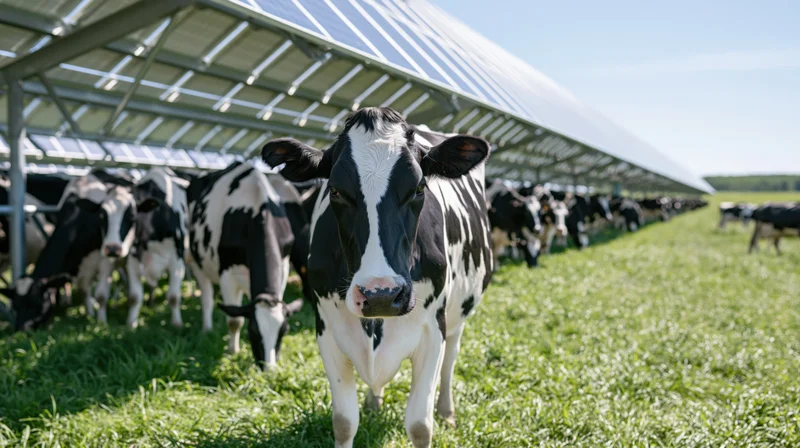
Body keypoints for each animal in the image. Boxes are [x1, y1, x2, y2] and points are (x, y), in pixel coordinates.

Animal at [125, 167, 190, 328]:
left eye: (131, 216)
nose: (111, 248)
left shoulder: (177, 262)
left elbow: (173, 296)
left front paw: (177, 323)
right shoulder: (132, 261)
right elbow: (134, 297)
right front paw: (131, 324)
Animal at [186, 162, 302, 370]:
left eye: (283, 331)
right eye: (253, 332)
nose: (269, 369)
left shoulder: (284, 266)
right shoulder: (227, 274)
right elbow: (234, 320)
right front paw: (233, 351)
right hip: (197, 260)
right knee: (206, 297)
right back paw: (206, 328)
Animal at [261, 107, 493, 448]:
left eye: (419, 188)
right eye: (335, 190)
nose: (381, 294)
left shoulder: (431, 330)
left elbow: (420, 426)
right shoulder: (326, 329)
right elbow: (344, 422)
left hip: (458, 315)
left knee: (451, 360)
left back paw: (447, 411)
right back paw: (374, 402)